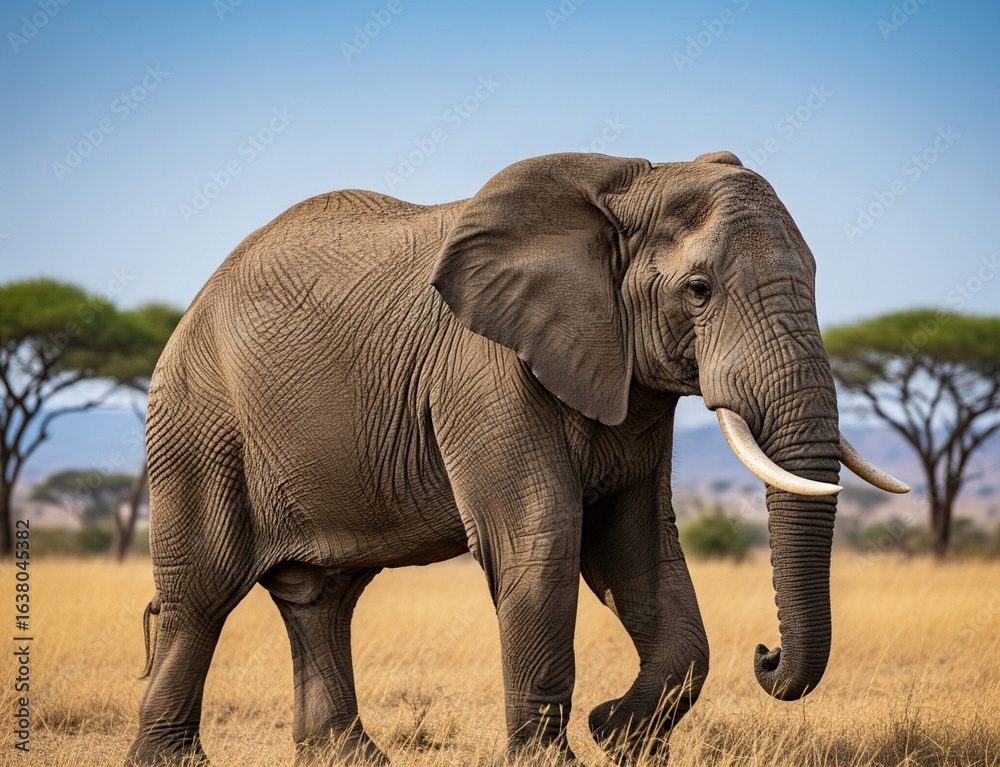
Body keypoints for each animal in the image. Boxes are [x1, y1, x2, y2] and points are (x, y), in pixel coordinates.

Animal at [125, 151, 906, 766]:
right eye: (698, 291)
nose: (767, 655)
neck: (635, 178)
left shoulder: (629, 379)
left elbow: (638, 548)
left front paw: (618, 733)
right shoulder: (484, 367)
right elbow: (539, 537)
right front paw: (567, 752)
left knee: (324, 594)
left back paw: (348, 756)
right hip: (199, 421)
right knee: (203, 592)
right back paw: (172, 759)